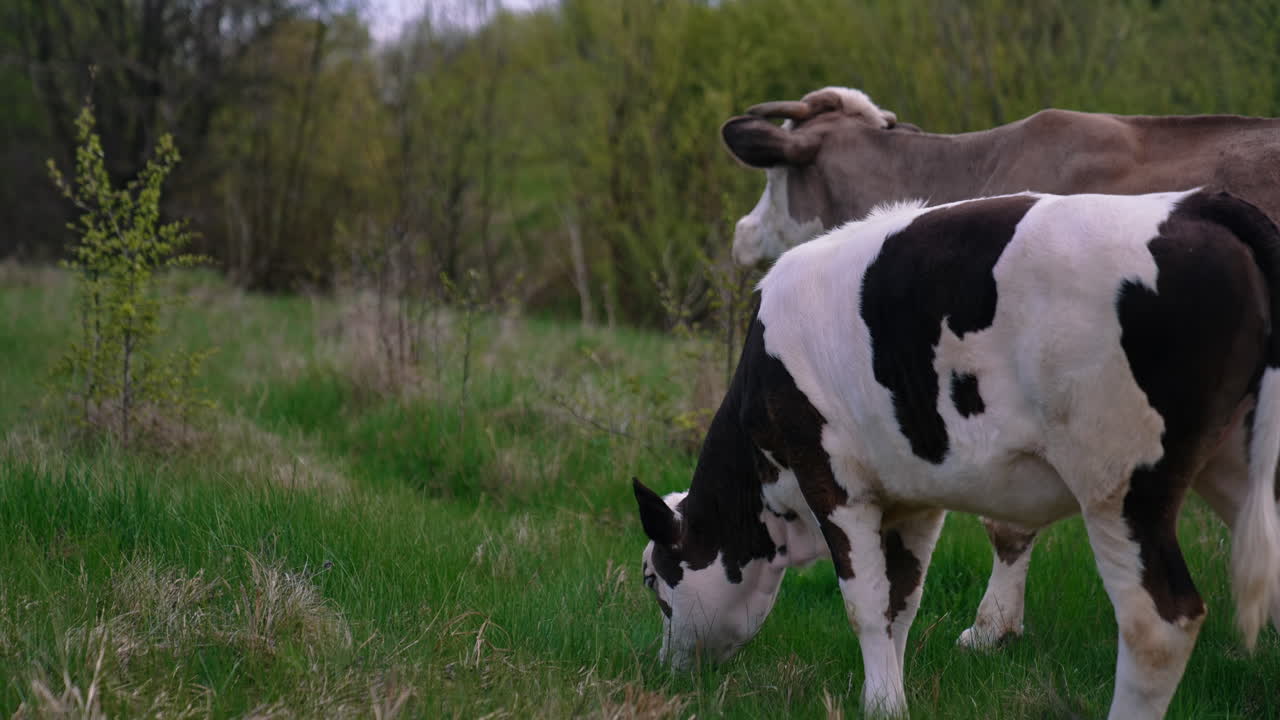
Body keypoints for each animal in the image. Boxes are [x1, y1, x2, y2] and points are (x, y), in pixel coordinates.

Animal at [633, 190, 1280, 719]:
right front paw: (889, 697)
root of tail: (1198, 205)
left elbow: (864, 602)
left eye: (654, 581)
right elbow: (900, 601)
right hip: (1237, 469)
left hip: (1120, 483)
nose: (669, 671)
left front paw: (881, 706)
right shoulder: (911, 496)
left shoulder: (833, 481)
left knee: (1157, 625)